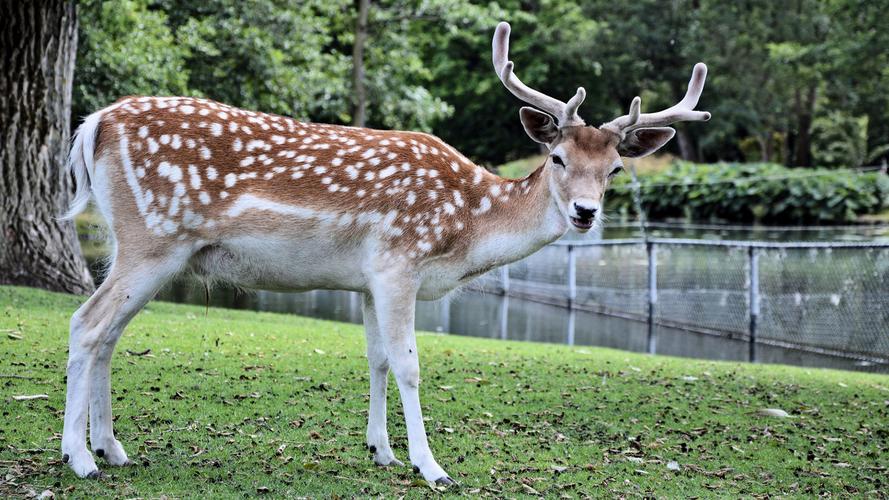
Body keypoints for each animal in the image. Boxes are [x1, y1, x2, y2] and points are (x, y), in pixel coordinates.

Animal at [59, 21, 708, 482]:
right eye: (557, 158)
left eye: (615, 168)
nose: (585, 212)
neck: (463, 233)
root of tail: (93, 124)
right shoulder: (400, 261)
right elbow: (410, 364)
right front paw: (433, 467)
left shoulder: (369, 278)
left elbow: (374, 358)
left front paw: (381, 451)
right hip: (154, 239)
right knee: (87, 324)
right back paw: (80, 458)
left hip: (129, 243)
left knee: (109, 333)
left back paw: (112, 447)